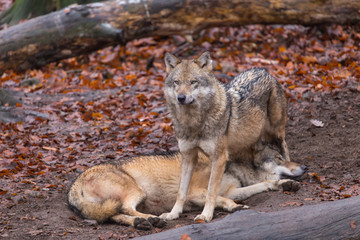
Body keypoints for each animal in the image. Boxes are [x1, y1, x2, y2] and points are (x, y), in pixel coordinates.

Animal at [68, 147, 306, 230]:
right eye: (279, 158)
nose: (304, 167)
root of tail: (73, 186)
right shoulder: (194, 193)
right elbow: (220, 199)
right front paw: (233, 208)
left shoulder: (232, 189)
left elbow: (262, 185)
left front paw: (284, 184)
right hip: (137, 192)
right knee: (126, 209)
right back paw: (153, 220)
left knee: (115, 216)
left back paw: (142, 223)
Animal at [162, 51, 292, 222]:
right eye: (176, 82)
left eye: (193, 82)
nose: (181, 98)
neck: (194, 123)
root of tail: (262, 69)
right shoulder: (188, 156)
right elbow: (181, 192)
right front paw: (173, 213)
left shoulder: (219, 158)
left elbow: (211, 192)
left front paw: (206, 215)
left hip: (276, 132)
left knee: (285, 148)